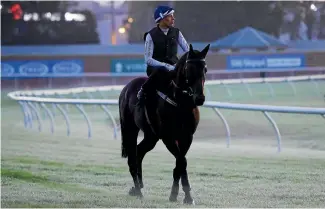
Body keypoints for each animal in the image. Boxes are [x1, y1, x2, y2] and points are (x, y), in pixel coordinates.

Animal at [117, 43, 209, 205]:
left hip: (151, 136)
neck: (180, 103)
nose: (200, 98)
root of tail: (126, 88)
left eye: (205, 68)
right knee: (132, 156)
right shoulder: (168, 137)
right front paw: (182, 195)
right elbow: (182, 162)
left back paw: (138, 186)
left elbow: (180, 162)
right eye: (189, 68)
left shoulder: (187, 137)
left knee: (139, 151)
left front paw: (181, 195)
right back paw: (138, 190)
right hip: (130, 129)